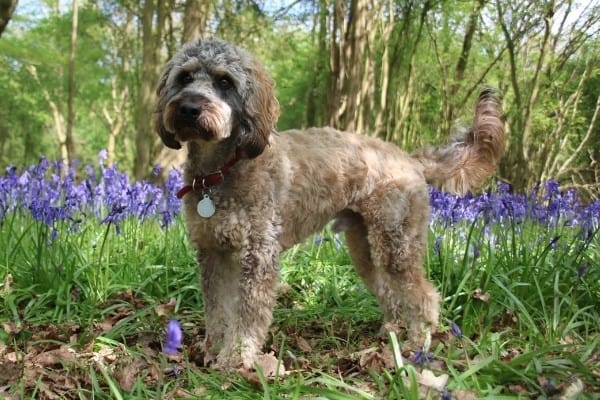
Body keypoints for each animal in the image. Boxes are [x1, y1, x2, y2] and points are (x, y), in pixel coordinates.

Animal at [152, 38, 504, 372]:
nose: (189, 107)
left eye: (225, 81)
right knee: (390, 292)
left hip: (397, 245)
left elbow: (247, 315)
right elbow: (217, 309)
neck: (222, 170)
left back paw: (418, 344)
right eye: (185, 77)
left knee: (424, 295)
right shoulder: (213, 251)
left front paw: (235, 358)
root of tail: (409, 158)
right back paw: (391, 332)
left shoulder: (258, 255)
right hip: (365, 247)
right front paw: (213, 349)